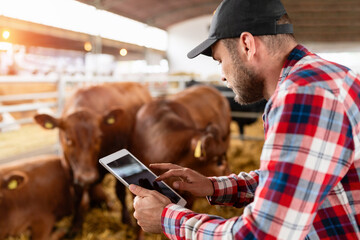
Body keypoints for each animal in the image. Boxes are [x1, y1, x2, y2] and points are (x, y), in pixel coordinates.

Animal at [34, 81, 152, 232]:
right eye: (67, 139)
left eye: (99, 137)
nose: (87, 177)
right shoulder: (69, 168)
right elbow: (77, 196)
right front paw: (75, 225)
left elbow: (119, 192)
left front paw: (126, 219)